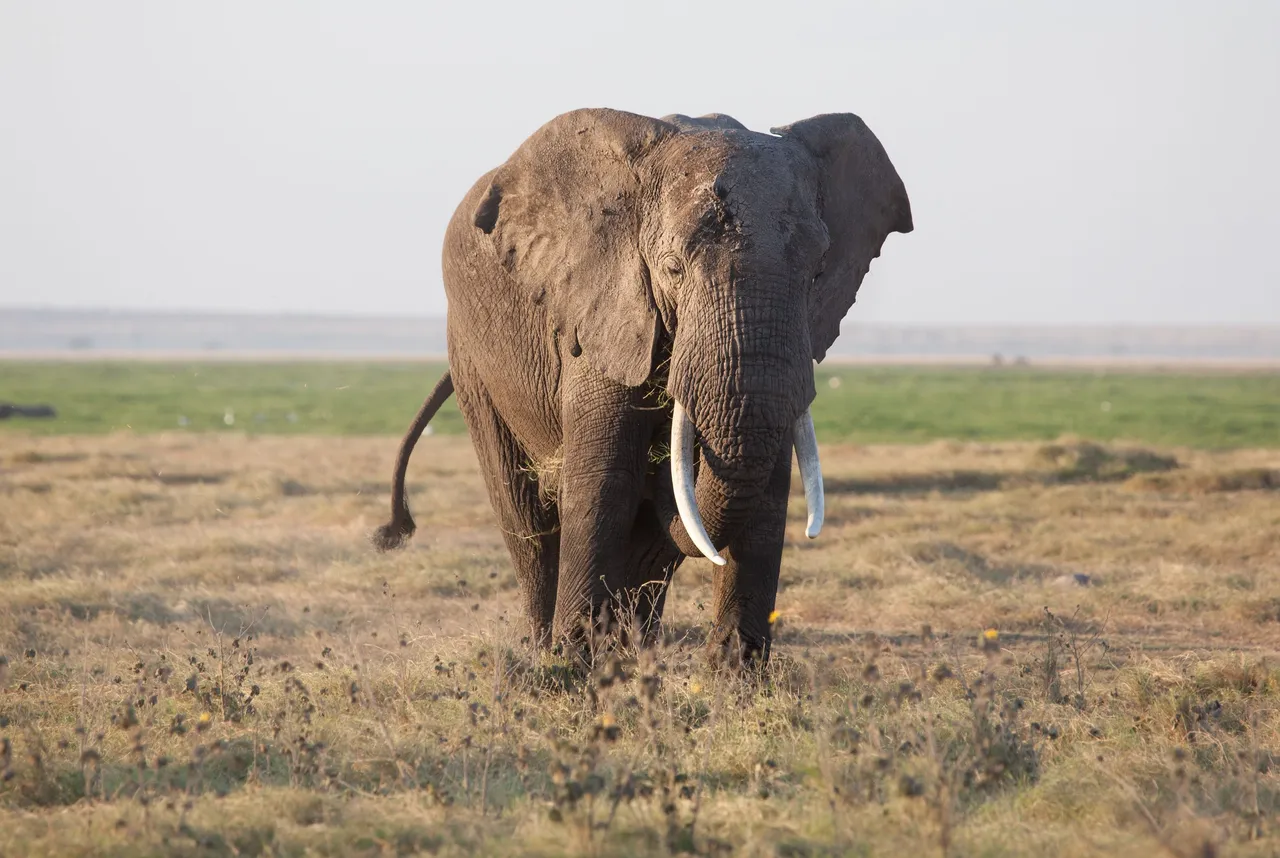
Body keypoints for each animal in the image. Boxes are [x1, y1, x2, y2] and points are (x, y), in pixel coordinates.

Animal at [373, 104, 916, 660]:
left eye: (817, 273)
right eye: (672, 268)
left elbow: (766, 486)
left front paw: (734, 671)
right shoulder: (601, 304)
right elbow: (604, 474)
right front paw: (572, 663)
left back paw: (633, 650)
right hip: (472, 356)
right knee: (524, 514)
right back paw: (549, 648)